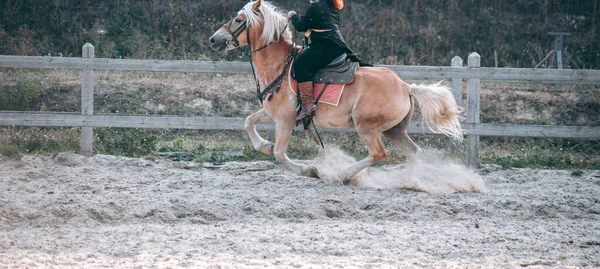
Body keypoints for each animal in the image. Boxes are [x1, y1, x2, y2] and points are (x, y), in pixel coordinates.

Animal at [209, 0, 462, 184]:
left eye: (238, 20)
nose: (213, 40)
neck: (280, 65)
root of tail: (405, 86)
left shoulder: (285, 119)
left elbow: (280, 153)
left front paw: (310, 170)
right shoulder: (273, 113)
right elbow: (248, 122)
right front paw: (265, 146)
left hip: (367, 126)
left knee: (379, 153)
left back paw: (343, 175)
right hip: (394, 130)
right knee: (413, 152)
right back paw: (407, 181)